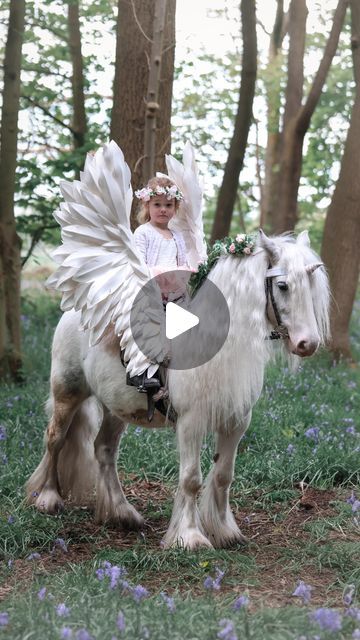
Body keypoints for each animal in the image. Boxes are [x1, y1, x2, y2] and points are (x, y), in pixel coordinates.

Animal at [25, 141, 330, 552]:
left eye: (312, 287)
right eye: (282, 285)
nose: (307, 343)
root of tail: (78, 311)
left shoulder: (236, 421)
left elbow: (223, 475)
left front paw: (224, 531)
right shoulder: (191, 421)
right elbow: (191, 478)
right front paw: (190, 537)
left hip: (115, 405)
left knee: (103, 450)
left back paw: (122, 514)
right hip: (68, 390)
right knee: (55, 438)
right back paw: (47, 497)